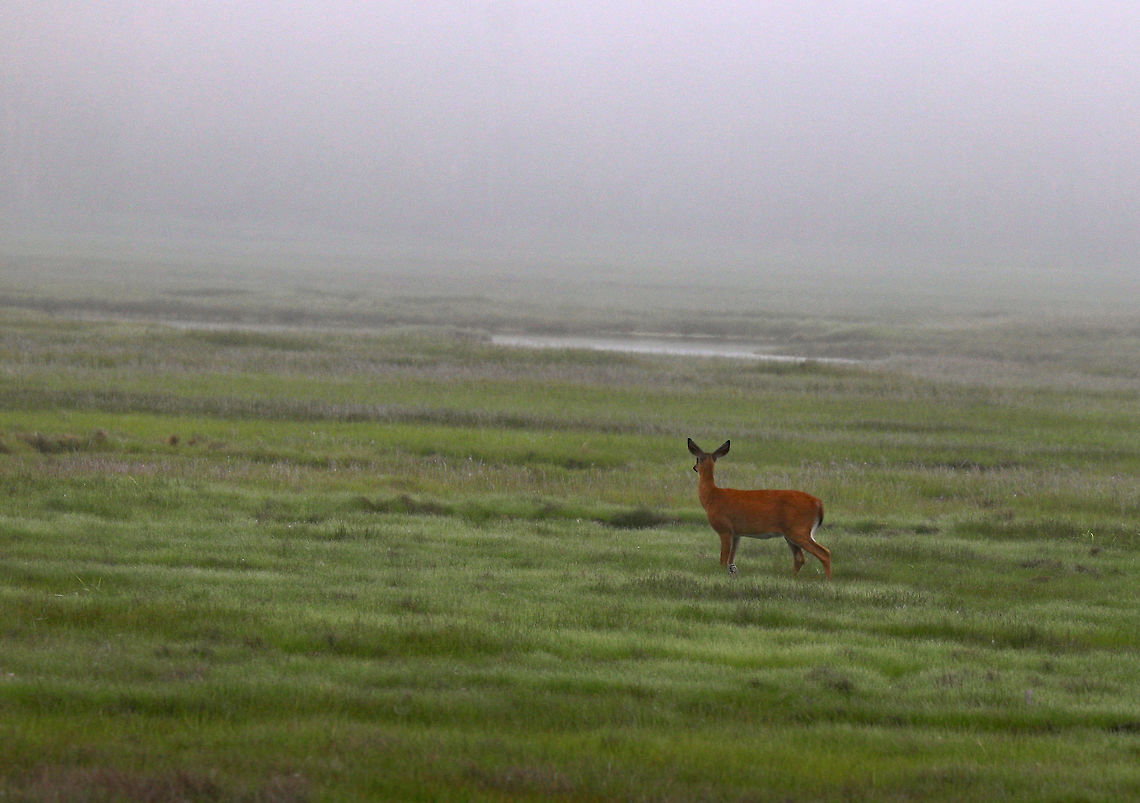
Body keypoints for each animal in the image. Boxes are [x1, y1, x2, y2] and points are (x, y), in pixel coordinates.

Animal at [687, 438, 831, 579]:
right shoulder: (736, 533)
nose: (694, 467)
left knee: (824, 553)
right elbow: (731, 560)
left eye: (697, 459)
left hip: (799, 529)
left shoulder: (724, 529)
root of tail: (819, 504)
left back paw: (827, 579)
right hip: (791, 534)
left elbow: (723, 560)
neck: (712, 497)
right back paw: (793, 577)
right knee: (800, 558)